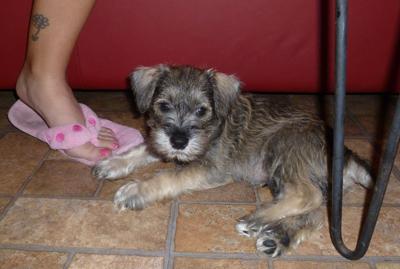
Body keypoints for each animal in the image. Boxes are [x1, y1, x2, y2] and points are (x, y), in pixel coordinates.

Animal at [92, 64, 370, 255]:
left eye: (201, 110)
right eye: (163, 106)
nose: (179, 141)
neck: (213, 127)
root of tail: (348, 155)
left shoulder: (210, 167)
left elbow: (169, 175)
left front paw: (135, 190)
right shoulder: (162, 142)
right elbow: (145, 147)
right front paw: (112, 163)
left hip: (283, 147)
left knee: (306, 196)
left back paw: (257, 219)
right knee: (313, 214)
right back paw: (277, 237)